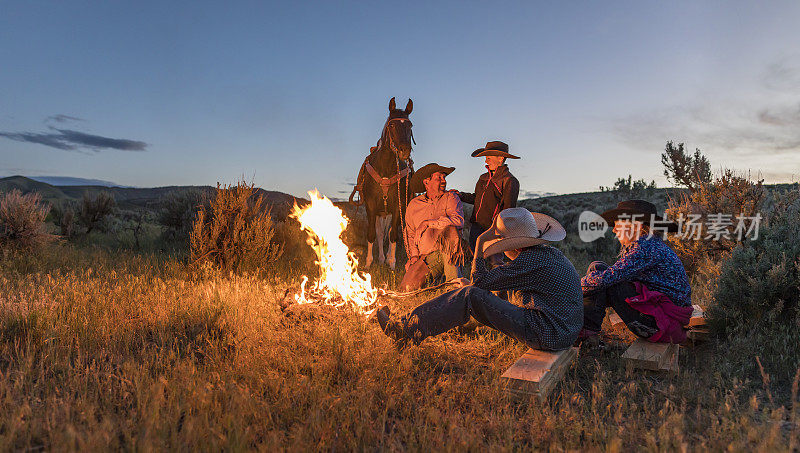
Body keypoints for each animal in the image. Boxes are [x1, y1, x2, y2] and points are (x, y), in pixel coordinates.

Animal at [348, 97, 412, 268]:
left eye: (410, 125)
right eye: (391, 125)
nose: (404, 151)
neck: (386, 169)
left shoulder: (397, 206)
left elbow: (393, 235)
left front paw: (392, 264)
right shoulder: (371, 206)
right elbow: (372, 234)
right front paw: (368, 263)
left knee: (389, 232)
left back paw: (388, 258)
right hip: (379, 213)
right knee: (380, 232)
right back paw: (382, 258)